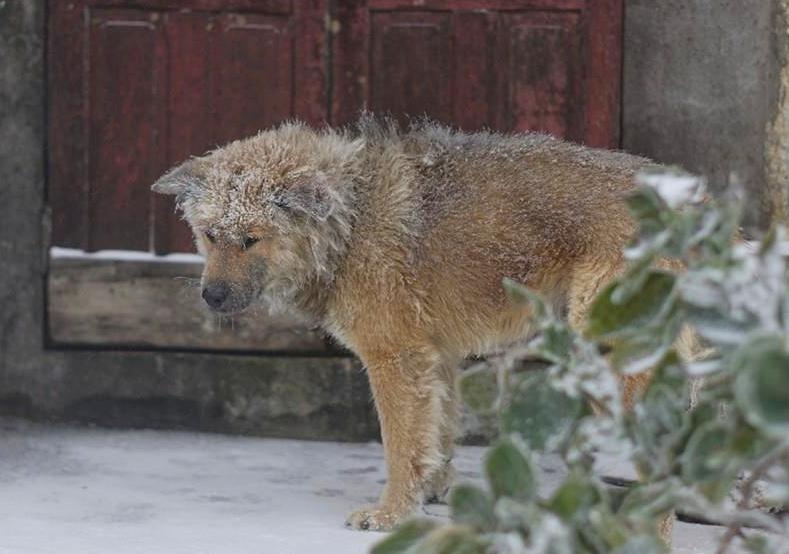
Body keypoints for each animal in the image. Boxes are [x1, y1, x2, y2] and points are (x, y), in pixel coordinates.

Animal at [151, 118, 692, 532]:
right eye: (210, 235)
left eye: (251, 239)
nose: (211, 297)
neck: (348, 222)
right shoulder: (438, 357)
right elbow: (437, 439)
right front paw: (430, 494)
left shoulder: (395, 358)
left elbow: (401, 447)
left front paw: (392, 515)